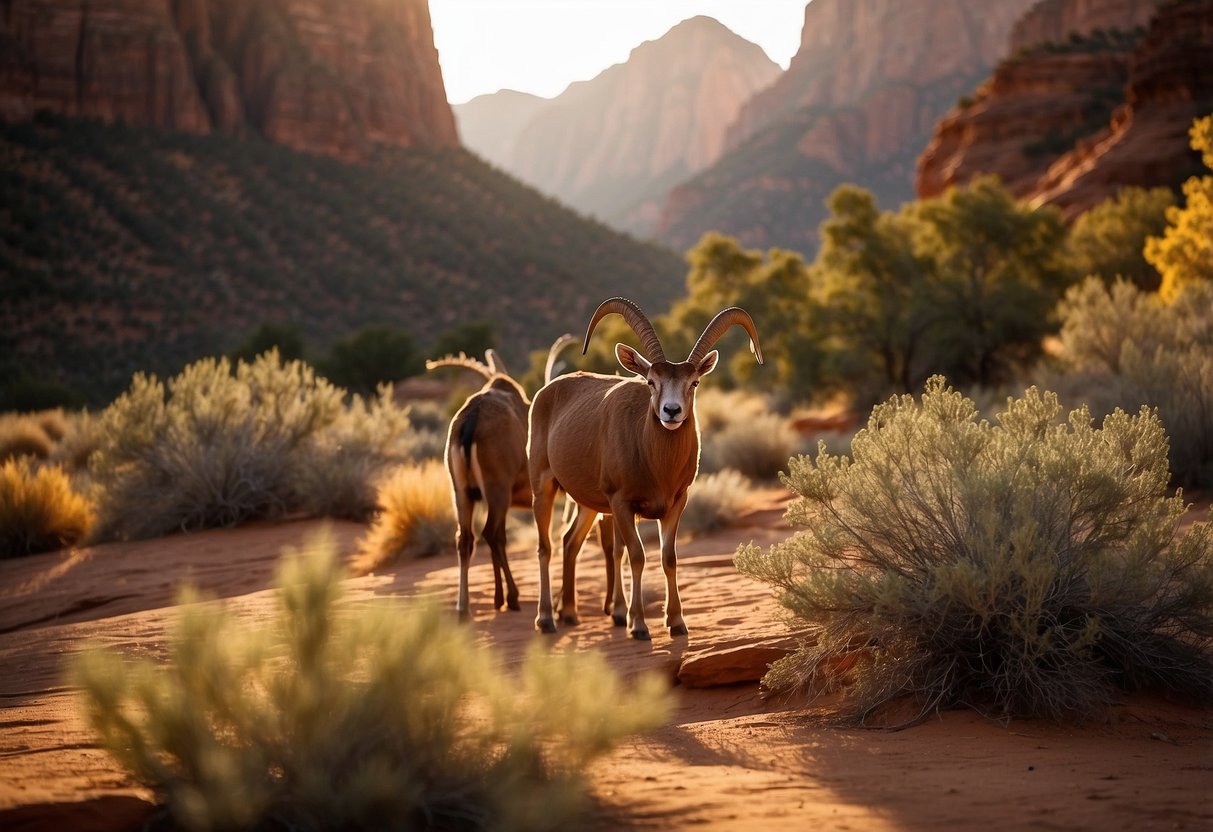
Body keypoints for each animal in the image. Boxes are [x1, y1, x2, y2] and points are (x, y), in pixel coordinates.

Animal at [429, 337, 616, 618]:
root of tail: (471, 418)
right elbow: (590, 539)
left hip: (461, 491)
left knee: (468, 539)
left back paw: (468, 606)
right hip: (497, 490)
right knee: (492, 534)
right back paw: (513, 597)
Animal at [528, 297, 761, 640]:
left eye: (694, 382)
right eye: (651, 382)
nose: (671, 411)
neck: (653, 459)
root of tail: (546, 392)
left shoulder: (676, 502)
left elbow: (668, 558)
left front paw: (676, 622)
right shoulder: (622, 504)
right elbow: (636, 555)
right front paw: (637, 624)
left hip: (588, 502)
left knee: (571, 542)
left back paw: (569, 612)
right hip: (543, 485)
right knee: (545, 547)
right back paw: (546, 618)